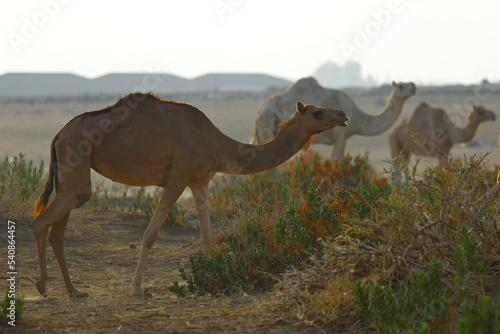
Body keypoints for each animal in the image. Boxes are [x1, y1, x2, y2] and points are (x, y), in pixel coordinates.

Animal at [31, 92, 348, 298]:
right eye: (317, 112)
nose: (343, 115)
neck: (218, 144)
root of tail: (58, 134)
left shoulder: (200, 181)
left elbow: (207, 237)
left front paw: (219, 278)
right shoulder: (178, 179)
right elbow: (150, 234)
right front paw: (136, 288)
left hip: (70, 175)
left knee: (57, 231)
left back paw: (74, 291)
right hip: (76, 161)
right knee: (41, 221)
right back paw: (43, 286)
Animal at [250, 77, 418, 159]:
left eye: (409, 83)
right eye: (401, 86)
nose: (414, 86)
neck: (359, 119)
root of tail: (260, 111)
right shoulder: (341, 136)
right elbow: (336, 162)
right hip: (266, 126)